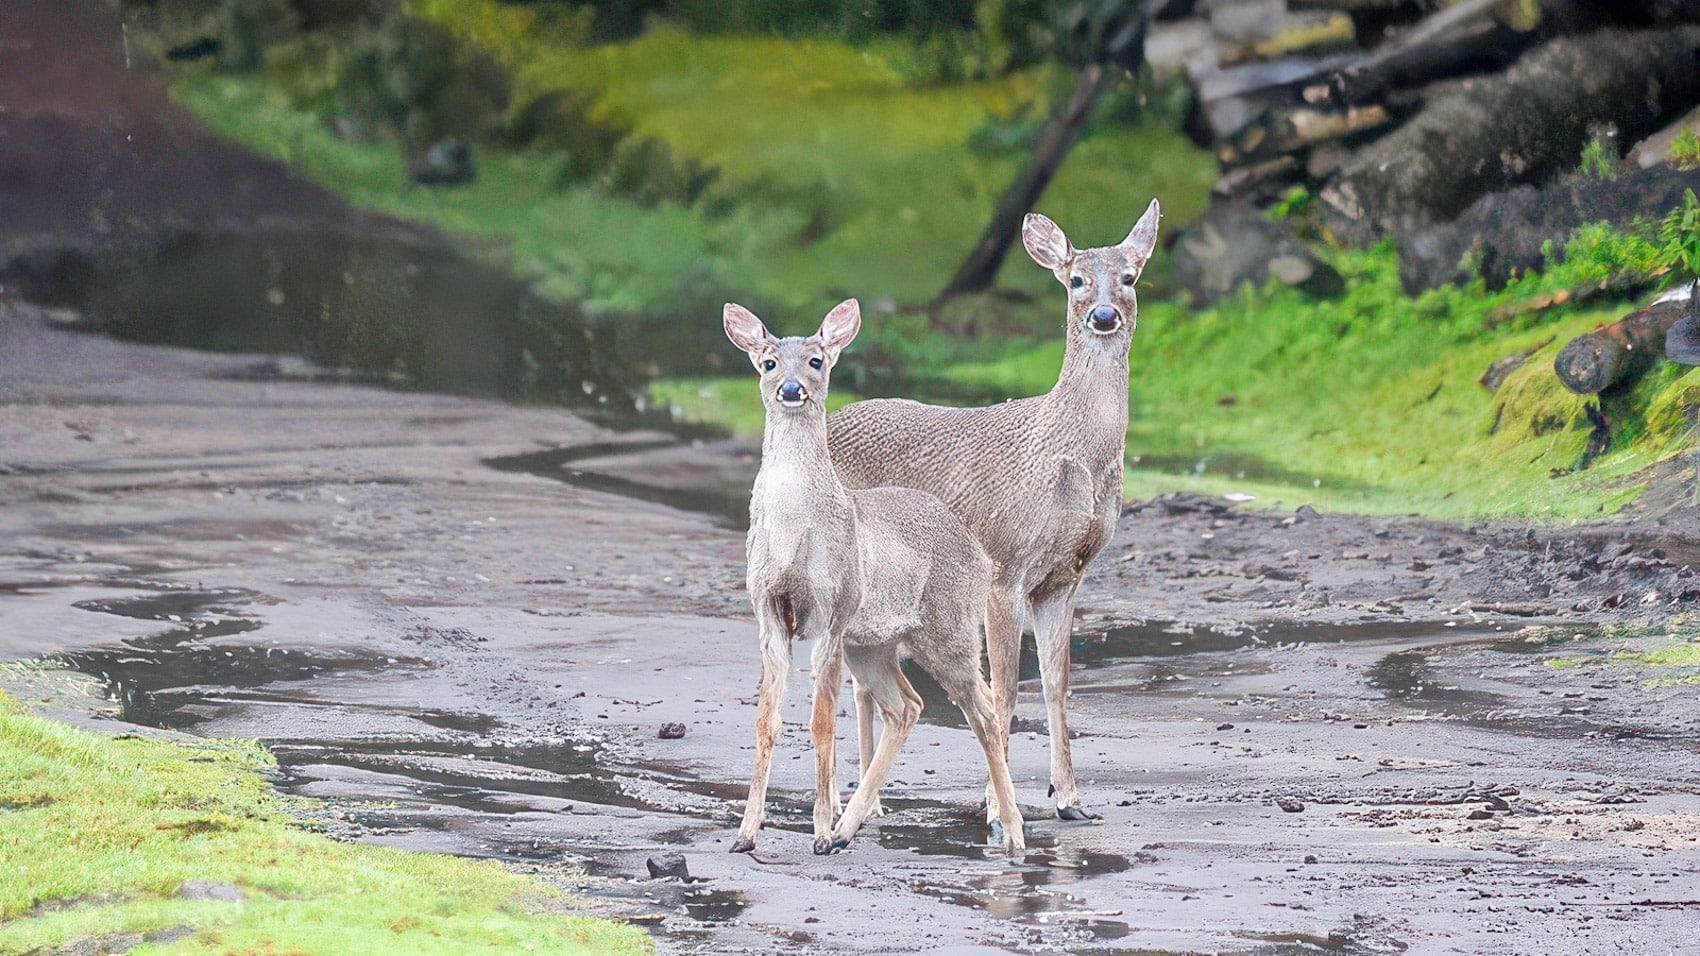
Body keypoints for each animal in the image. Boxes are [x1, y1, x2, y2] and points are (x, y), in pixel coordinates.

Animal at [724, 298, 1025, 856]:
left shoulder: (834, 609)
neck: (795, 528)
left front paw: (819, 830)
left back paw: (1011, 831)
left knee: (985, 708)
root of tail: (977, 552)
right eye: (769, 361)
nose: (791, 390)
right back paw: (851, 826)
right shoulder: (769, 610)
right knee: (907, 706)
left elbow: (821, 721)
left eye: (817, 360)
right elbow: (765, 720)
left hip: (948, 629)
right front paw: (746, 834)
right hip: (875, 645)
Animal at [828, 199, 1161, 822]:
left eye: (1130, 277)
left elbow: (1055, 682)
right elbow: (1003, 690)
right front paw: (994, 806)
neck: (1071, 454)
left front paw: (1069, 798)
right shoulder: (1003, 567)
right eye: (1076, 279)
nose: (1104, 315)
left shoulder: (1064, 576)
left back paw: (870, 801)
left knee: (863, 679)